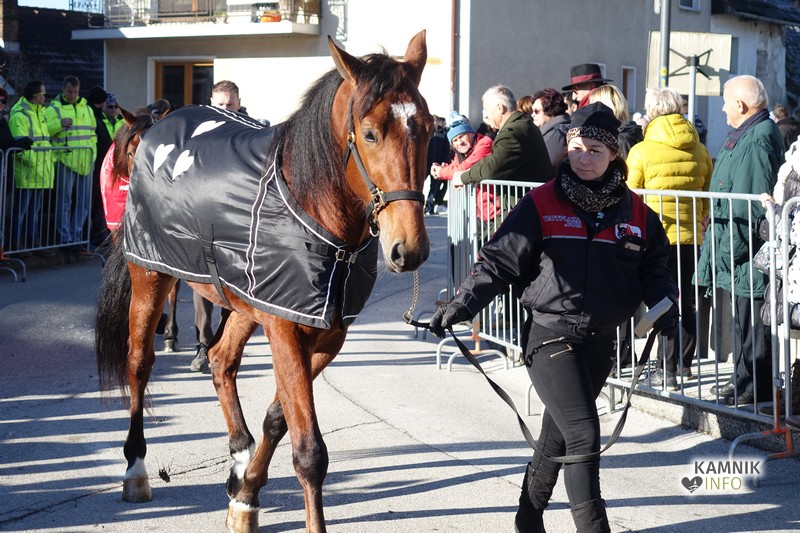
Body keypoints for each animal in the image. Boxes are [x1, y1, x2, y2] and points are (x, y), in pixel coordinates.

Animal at [95, 31, 432, 532]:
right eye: (370, 133)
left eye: (428, 127)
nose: (408, 249)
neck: (311, 207)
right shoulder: (285, 329)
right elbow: (309, 451)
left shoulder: (324, 332)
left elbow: (278, 418)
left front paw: (246, 495)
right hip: (151, 276)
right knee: (139, 364)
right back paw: (136, 468)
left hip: (243, 302)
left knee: (220, 360)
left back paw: (238, 455)